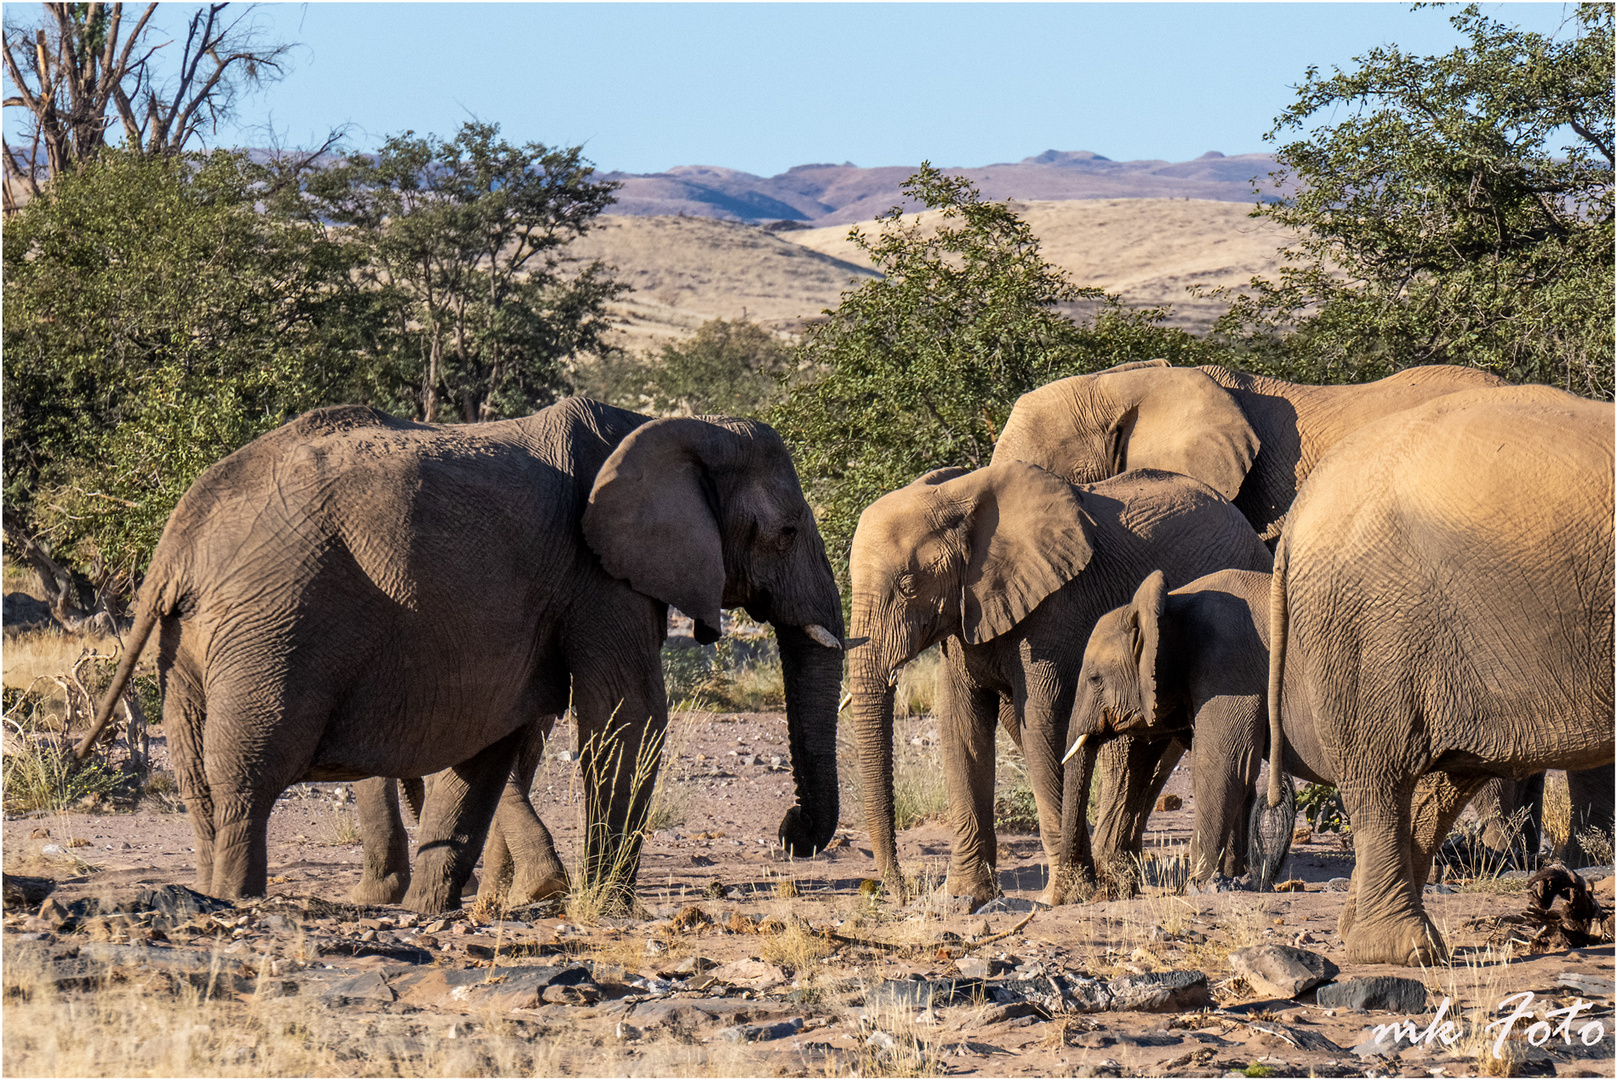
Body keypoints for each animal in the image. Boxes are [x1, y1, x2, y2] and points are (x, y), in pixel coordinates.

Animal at [847, 459, 1274, 905]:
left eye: (908, 586)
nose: (901, 890)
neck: (960, 496)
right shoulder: (966, 611)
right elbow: (962, 726)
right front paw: (964, 899)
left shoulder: (1056, 608)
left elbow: (1043, 724)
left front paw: (1064, 896)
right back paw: (1121, 881)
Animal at [1267, 386, 1610, 963]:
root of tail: (1299, 512)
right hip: (1372, 627)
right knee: (1381, 777)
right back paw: (1404, 950)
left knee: (1445, 782)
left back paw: (1359, 932)